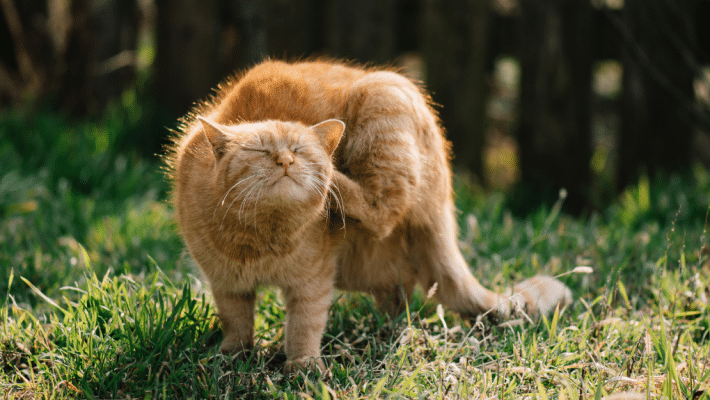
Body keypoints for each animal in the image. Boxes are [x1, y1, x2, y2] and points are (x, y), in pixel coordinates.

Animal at [165, 58, 572, 372]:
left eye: (300, 150)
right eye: (260, 150)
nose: (285, 160)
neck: (262, 239)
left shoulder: (313, 281)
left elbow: (304, 326)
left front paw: (302, 367)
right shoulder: (226, 283)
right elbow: (236, 324)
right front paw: (231, 357)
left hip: (385, 101)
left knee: (381, 211)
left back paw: (336, 180)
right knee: (398, 297)